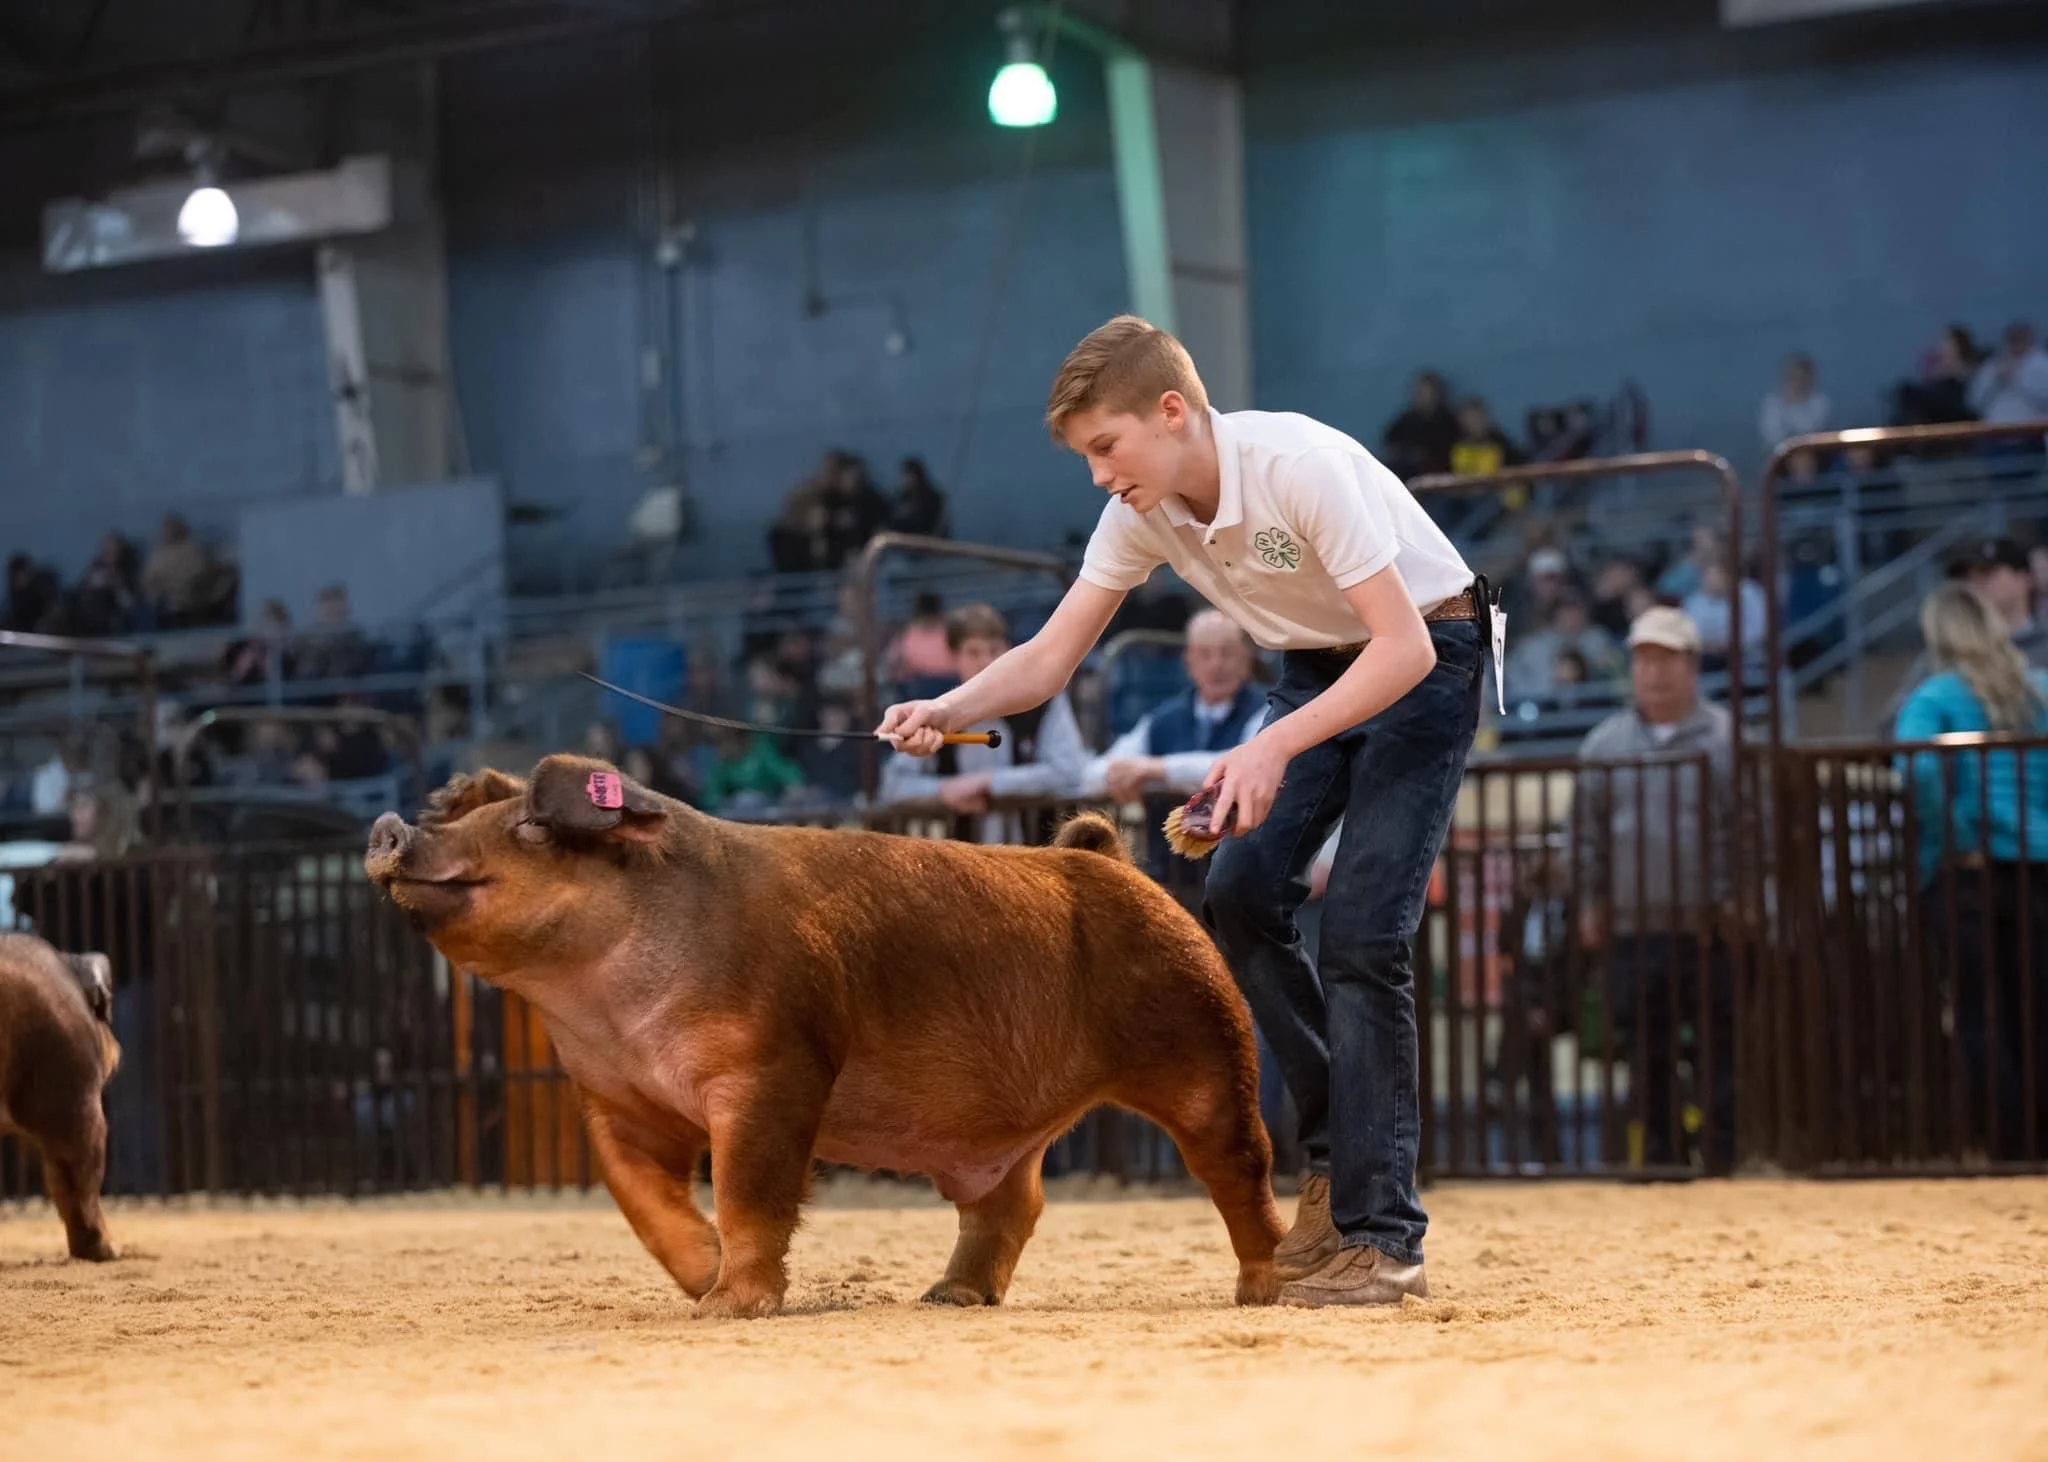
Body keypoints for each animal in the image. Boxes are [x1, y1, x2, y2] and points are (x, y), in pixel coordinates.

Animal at [364, 754, 1284, 1319]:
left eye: (527, 829)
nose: (390, 827)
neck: (606, 1006)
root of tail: (1112, 860)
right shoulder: (612, 1100)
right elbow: (641, 1201)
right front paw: (702, 1281)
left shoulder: (775, 1067)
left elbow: (751, 1190)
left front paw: (729, 1307)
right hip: (1012, 1133)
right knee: (1014, 1201)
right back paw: (946, 1297)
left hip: (1207, 1043)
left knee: (1240, 1168)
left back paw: (1261, 1290)